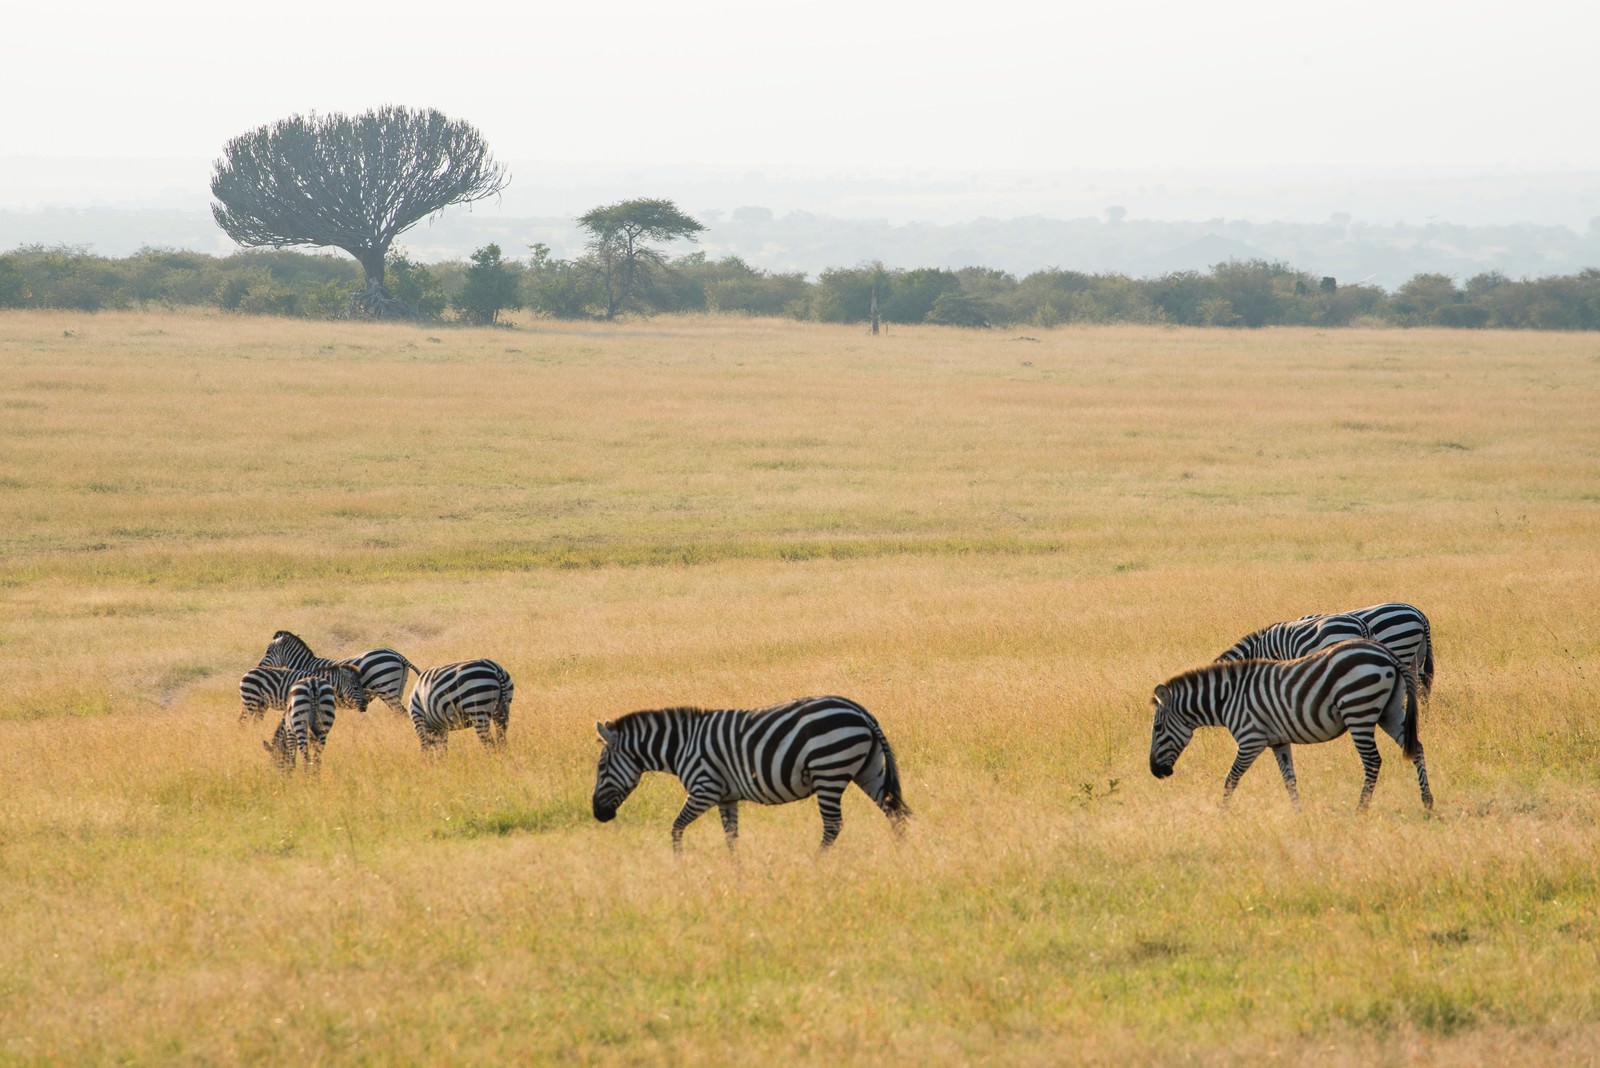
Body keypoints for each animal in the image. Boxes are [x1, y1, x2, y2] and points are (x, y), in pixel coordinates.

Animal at [236, 661, 366, 722]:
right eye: (356, 688)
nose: (364, 707)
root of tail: (248, 672)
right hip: (251, 700)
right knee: (244, 720)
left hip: (262, 704)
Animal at [257, 629, 419, 713]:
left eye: (268, 652)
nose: (259, 667)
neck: (306, 665)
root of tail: (397, 655)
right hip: (397, 689)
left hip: (386, 688)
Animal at [592, 697, 915, 856]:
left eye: (601, 767)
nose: (598, 815)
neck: (682, 746)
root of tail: (861, 712)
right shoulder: (726, 796)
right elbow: (731, 837)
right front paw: (737, 871)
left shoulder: (704, 789)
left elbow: (676, 828)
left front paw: (679, 863)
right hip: (868, 770)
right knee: (894, 811)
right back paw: (900, 856)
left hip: (829, 771)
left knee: (833, 825)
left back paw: (817, 860)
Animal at [1152, 642, 1440, 808]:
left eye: (1157, 729)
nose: (1156, 772)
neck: (1227, 698)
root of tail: (1387, 653)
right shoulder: (1278, 741)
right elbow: (1289, 779)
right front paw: (1298, 813)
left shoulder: (1251, 739)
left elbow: (1230, 779)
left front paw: (1223, 813)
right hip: (1389, 712)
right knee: (1417, 748)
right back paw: (1427, 802)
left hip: (1358, 709)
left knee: (1372, 761)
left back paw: (1361, 809)